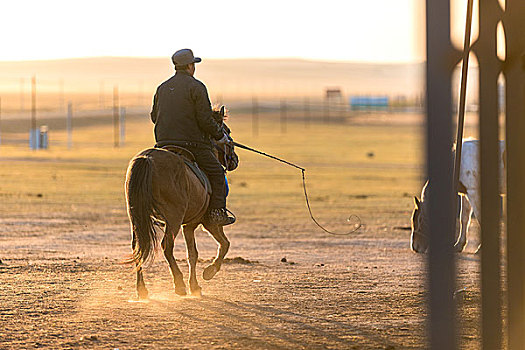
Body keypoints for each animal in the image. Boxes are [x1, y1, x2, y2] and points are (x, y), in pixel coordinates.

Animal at [125, 107, 231, 298]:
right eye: (226, 131)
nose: (235, 159)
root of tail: (147, 158)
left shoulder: (188, 225)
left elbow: (193, 254)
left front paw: (195, 285)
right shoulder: (206, 222)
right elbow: (224, 244)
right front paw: (209, 272)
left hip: (136, 218)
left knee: (138, 247)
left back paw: (142, 289)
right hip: (173, 218)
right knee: (166, 246)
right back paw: (179, 284)